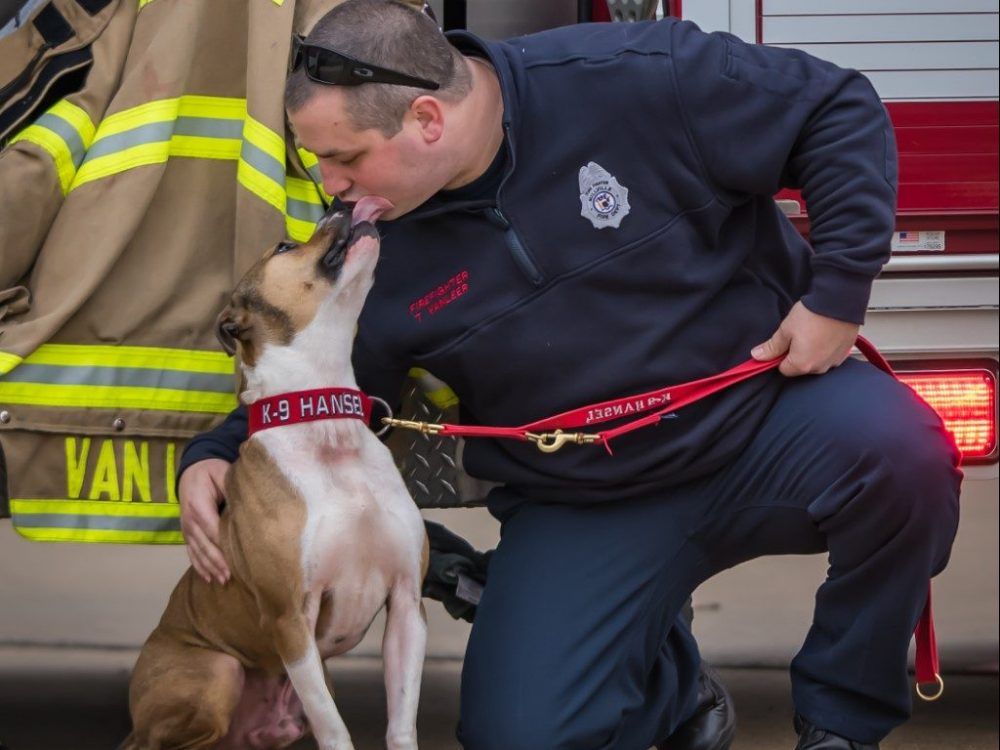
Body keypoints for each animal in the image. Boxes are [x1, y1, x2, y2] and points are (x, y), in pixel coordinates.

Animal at [123, 200, 428, 750]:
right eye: (284, 246)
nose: (341, 205)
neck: (324, 424)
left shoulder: (407, 608)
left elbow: (401, 722)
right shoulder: (290, 620)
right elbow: (334, 729)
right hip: (216, 673)